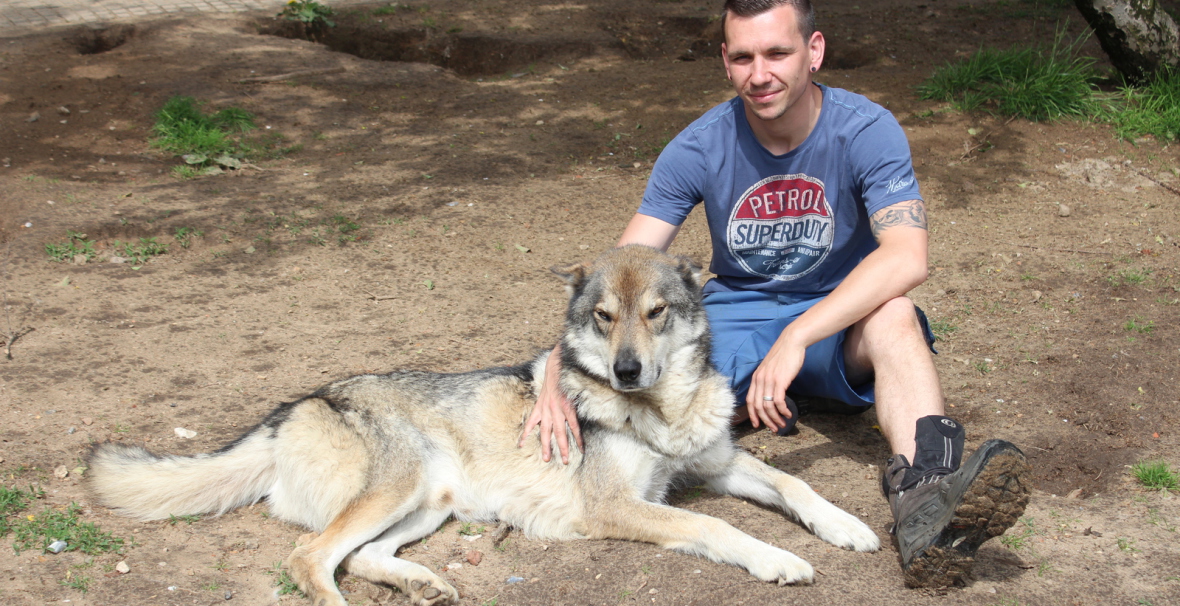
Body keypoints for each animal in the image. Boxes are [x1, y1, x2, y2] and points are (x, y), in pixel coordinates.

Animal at [87, 245, 880, 606]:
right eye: (604, 317)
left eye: (655, 313)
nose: (626, 370)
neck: (658, 411)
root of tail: (296, 406)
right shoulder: (616, 508)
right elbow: (718, 526)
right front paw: (778, 560)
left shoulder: (717, 464)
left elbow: (796, 489)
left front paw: (849, 528)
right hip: (399, 489)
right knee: (312, 559)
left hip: (429, 503)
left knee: (360, 557)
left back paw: (424, 584)